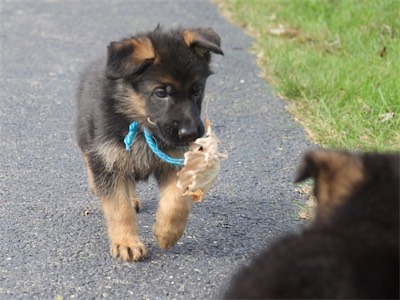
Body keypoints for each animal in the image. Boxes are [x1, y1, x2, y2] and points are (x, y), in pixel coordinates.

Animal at [76, 27, 223, 262]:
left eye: (196, 90)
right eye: (161, 93)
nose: (190, 133)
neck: (142, 125)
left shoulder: (175, 160)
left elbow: (176, 202)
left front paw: (167, 233)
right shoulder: (108, 159)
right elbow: (119, 209)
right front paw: (127, 243)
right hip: (88, 137)